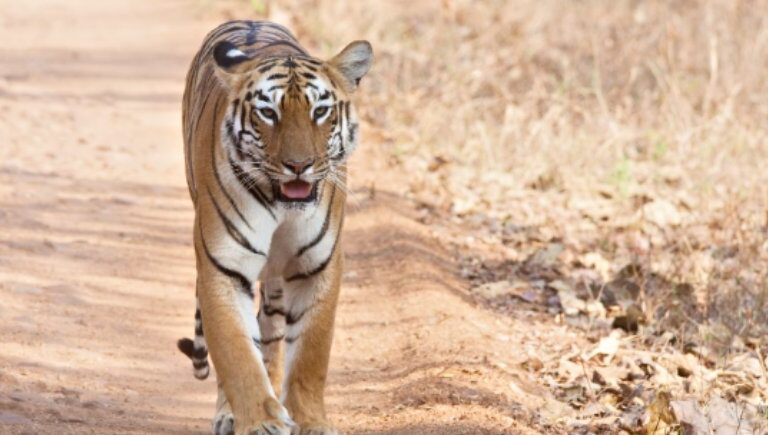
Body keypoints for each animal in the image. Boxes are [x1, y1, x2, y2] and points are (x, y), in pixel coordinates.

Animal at [176, 20, 372, 435]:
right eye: (267, 112)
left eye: (320, 111)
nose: (299, 165)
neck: (285, 208)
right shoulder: (223, 268)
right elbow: (236, 354)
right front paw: (259, 422)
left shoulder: (318, 267)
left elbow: (311, 355)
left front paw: (310, 422)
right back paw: (230, 415)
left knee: (272, 333)